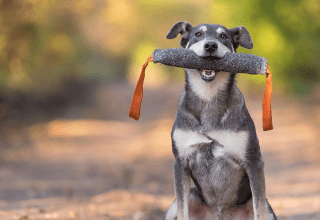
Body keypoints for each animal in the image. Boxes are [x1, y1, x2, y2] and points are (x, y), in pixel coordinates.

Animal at [164, 21, 276, 220]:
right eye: (198, 34)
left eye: (223, 36)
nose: (210, 45)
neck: (209, 97)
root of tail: (220, 214)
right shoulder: (180, 163)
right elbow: (183, 211)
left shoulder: (254, 163)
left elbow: (259, 209)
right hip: (180, 201)